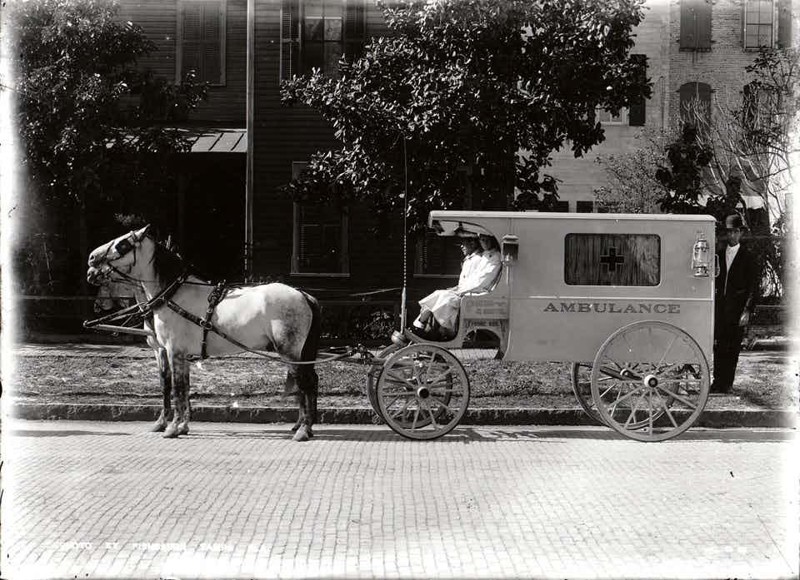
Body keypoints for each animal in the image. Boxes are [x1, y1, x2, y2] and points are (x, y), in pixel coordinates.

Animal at [86, 225, 322, 440]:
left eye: (123, 244)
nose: (91, 261)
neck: (173, 296)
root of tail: (303, 295)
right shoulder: (178, 354)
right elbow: (180, 387)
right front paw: (181, 426)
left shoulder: (173, 351)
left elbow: (177, 388)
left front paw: (172, 428)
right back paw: (305, 427)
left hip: (290, 352)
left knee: (306, 383)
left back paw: (302, 430)